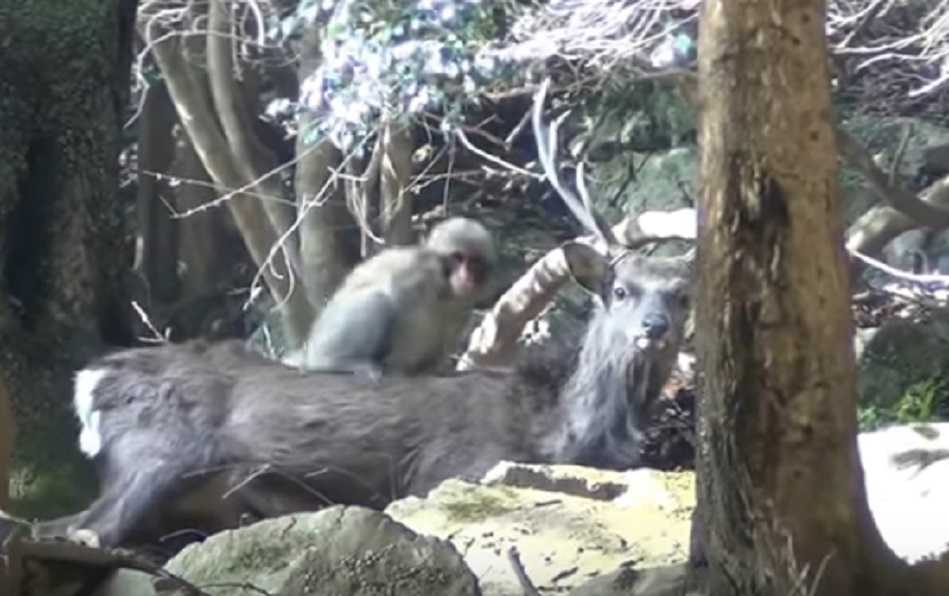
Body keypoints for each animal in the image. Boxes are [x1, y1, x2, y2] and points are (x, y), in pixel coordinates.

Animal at [282, 217, 497, 378]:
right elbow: (402, 308)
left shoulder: (463, 304)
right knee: (379, 300)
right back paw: (333, 362)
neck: (444, 287)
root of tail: (309, 349)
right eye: (458, 257)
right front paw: (402, 364)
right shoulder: (416, 273)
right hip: (325, 339)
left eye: (474, 262)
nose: (466, 276)